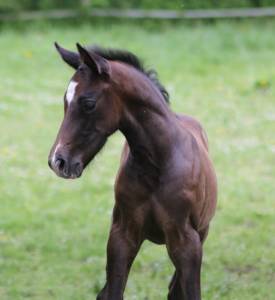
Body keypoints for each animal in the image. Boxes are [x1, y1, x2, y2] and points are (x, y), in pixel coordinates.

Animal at [49, 42, 218, 300]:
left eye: (88, 103)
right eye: (65, 102)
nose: (58, 161)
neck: (157, 166)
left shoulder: (187, 243)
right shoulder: (122, 237)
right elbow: (112, 292)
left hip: (202, 233)